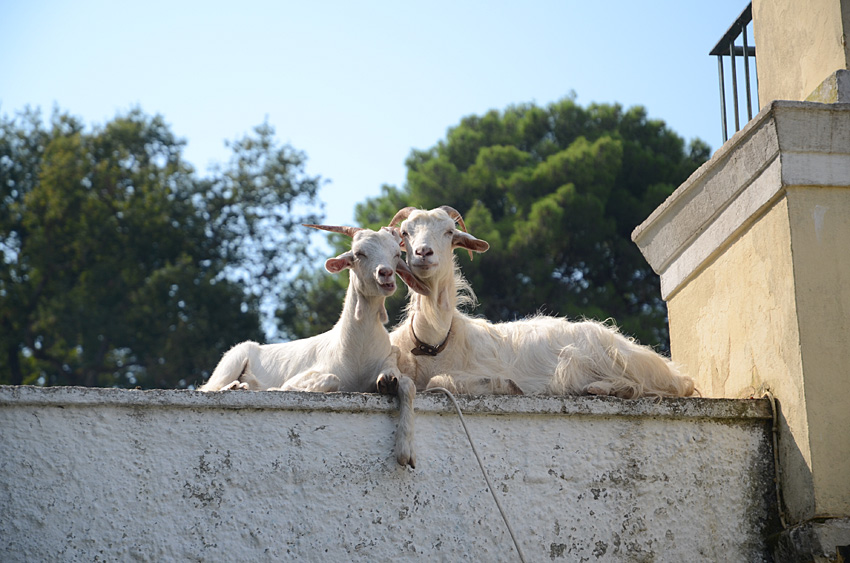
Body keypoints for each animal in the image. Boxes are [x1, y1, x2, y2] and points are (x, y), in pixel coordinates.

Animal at [198, 225, 424, 468]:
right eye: (359, 254)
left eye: (396, 254)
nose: (385, 274)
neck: (357, 349)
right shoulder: (306, 376)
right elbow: (328, 379)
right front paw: (276, 389)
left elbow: (407, 385)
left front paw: (406, 452)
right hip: (234, 357)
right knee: (208, 388)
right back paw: (236, 387)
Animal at [388, 208, 692, 400]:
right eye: (404, 232)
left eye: (450, 232)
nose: (423, 253)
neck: (434, 342)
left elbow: (438, 382)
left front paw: (503, 385)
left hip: (602, 357)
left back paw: (608, 388)